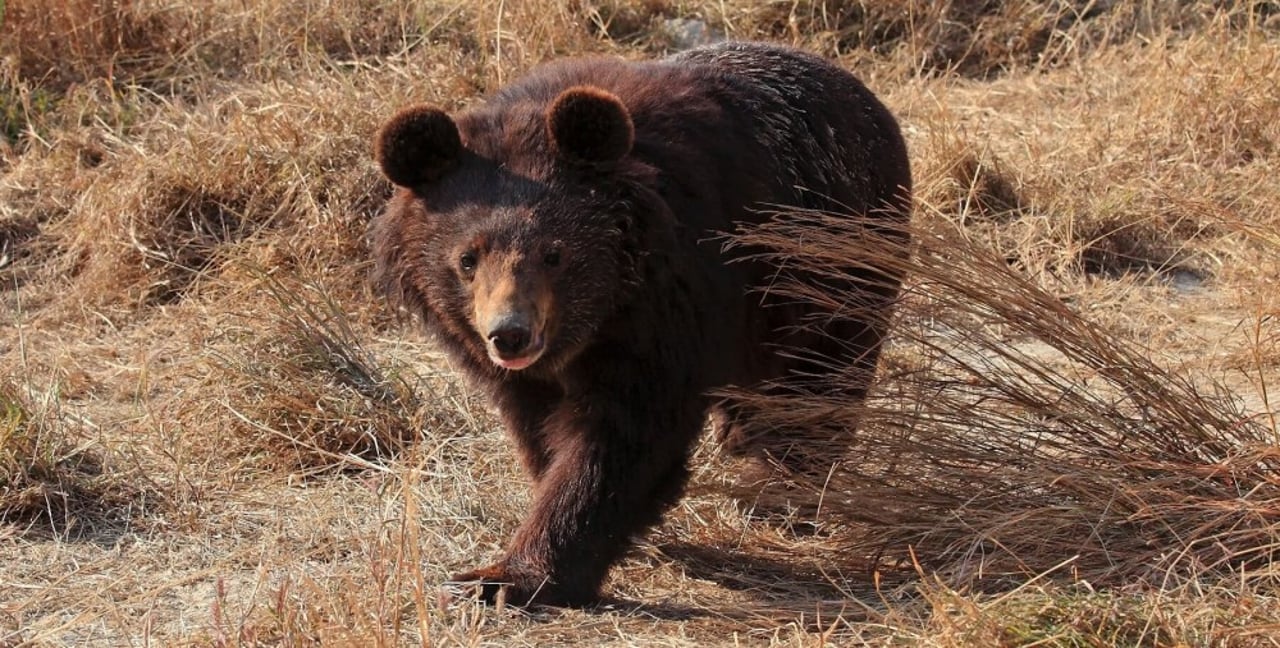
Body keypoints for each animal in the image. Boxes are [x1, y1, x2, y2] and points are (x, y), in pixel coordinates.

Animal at [371, 41, 911, 607]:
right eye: (467, 259)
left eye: (554, 254)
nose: (511, 335)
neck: (602, 314)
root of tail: (865, 98)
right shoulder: (524, 373)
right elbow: (539, 428)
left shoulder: (672, 308)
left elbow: (624, 437)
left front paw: (508, 577)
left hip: (833, 267)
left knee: (818, 385)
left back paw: (781, 490)